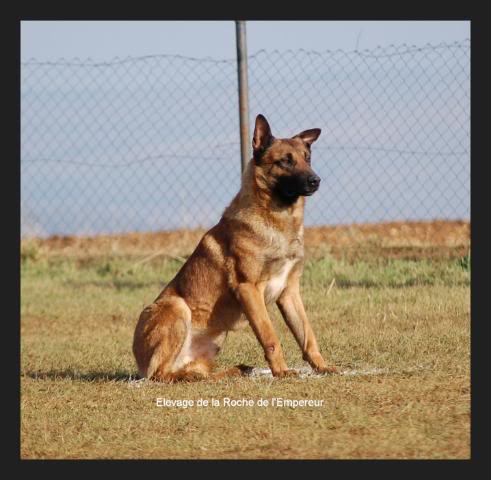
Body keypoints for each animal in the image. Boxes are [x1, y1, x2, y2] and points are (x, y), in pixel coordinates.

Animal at [133, 114, 336, 380]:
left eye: (307, 158)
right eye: (285, 161)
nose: (316, 180)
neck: (277, 221)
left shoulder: (289, 292)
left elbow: (307, 335)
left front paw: (321, 366)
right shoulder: (249, 289)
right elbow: (270, 337)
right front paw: (281, 371)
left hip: (215, 340)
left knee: (199, 372)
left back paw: (233, 371)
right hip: (176, 307)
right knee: (161, 374)